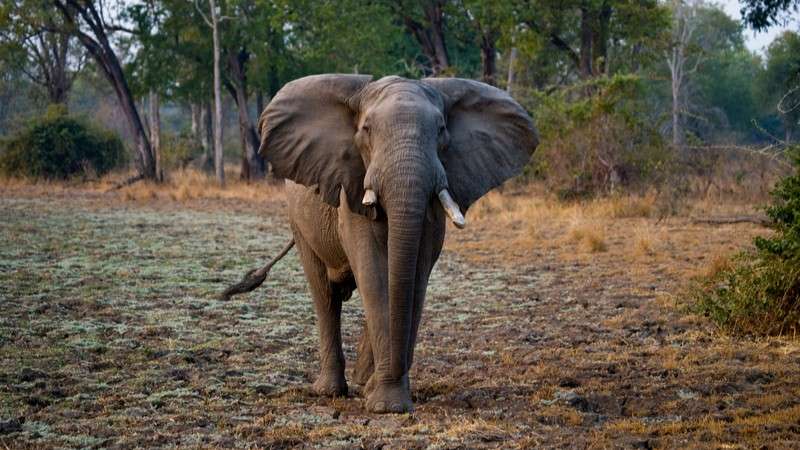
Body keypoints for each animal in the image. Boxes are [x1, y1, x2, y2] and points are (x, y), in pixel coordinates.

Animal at [224, 74, 538, 414]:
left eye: (441, 129)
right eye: (366, 130)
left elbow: (413, 276)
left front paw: (384, 396)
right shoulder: (352, 190)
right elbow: (374, 272)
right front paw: (387, 405)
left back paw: (362, 382)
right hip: (298, 219)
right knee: (325, 294)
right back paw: (330, 390)